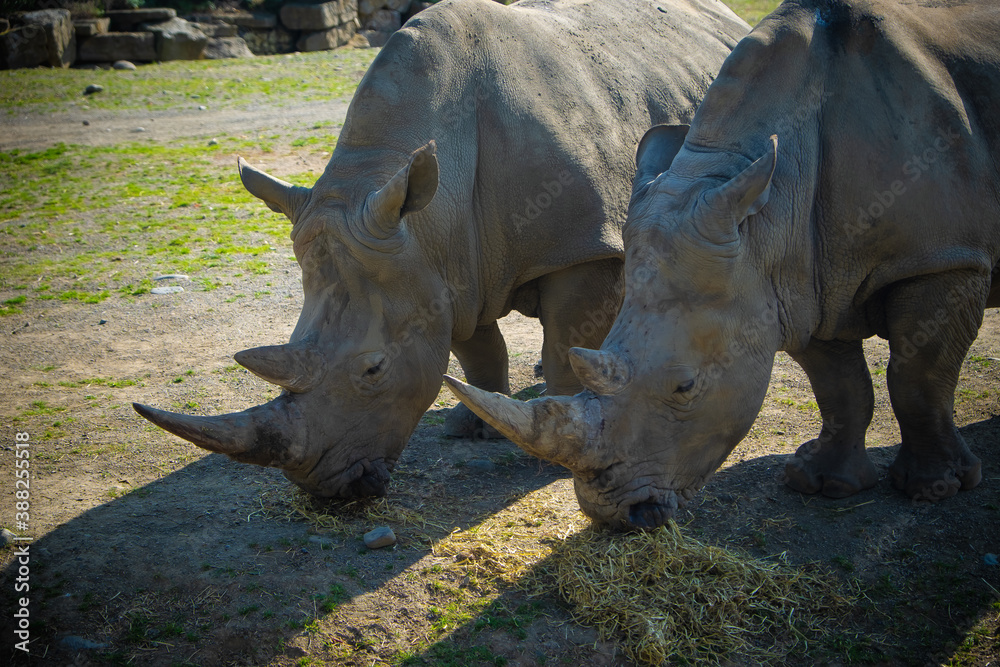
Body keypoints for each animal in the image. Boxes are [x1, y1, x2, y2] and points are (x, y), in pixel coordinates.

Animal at [133, 0, 749, 499]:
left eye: (374, 369)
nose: (324, 490)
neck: (430, 215)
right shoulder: (445, 263)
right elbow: (475, 347)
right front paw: (474, 425)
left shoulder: (580, 246)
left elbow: (564, 341)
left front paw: (555, 447)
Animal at [447, 0, 1000, 529]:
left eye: (686, 386)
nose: (619, 517)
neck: (771, 209)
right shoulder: (797, 277)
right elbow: (838, 384)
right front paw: (822, 484)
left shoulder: (943, 257)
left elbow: (917, 377)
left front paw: (935, 489)